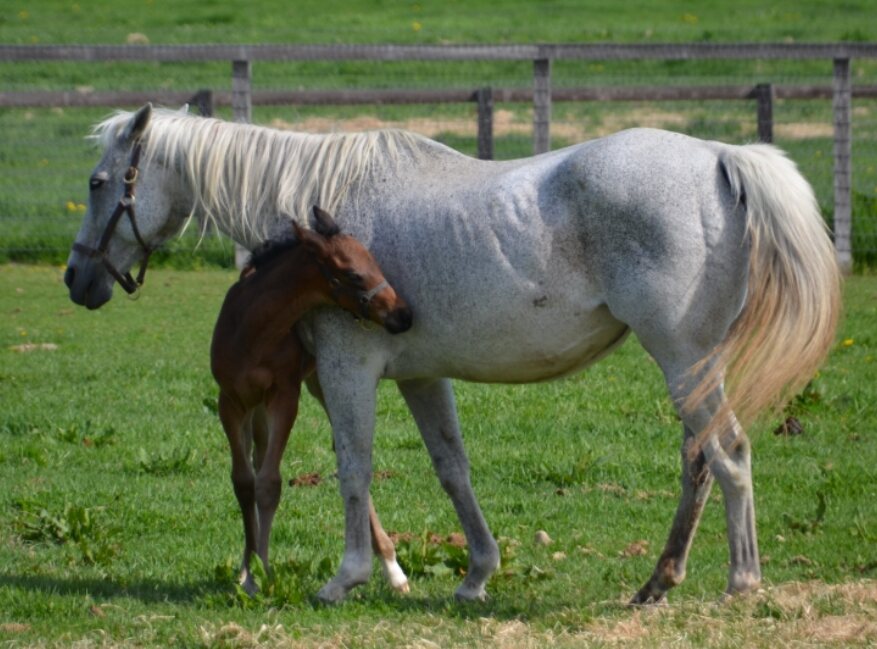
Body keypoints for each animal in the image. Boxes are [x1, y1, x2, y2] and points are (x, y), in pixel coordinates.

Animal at [210, 206, 412, 595]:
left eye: (375, 261)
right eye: (353, 273)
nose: (403, 315)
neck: (250, 330)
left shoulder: (285, 395)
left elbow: (269, 483)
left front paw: (263, 572)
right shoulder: (229, 401)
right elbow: (243, 481)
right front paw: (248, 572)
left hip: (318, 382)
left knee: (344, 451)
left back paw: (394, 571)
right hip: (257, 407)